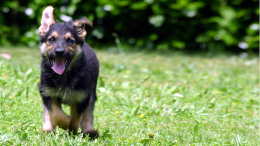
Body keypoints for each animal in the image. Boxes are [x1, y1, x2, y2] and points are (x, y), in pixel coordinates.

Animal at [38, 6, 99, 139]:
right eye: (51, 39)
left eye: (70, 41)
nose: (59, 52)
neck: (63, 77)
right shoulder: (47, 93)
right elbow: (56, 114)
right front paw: (65, 122)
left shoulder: (82, 97)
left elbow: (76, 119)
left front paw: (71, 131)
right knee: (48, 113)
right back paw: (48, 130)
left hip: (91, 93)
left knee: (88, 113)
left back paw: (90, 131)